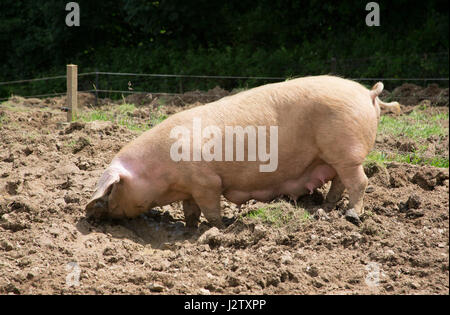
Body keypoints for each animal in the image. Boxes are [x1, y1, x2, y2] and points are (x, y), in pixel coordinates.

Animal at [85, 75, 394, 227]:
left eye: (112, 189)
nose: (90, 214)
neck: (162, 173)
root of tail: (368, 93)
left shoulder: (207, 182)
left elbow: (211, 209)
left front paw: (219, 229)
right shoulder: (190, 189)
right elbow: (190, 210)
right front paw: (188, 227)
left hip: (347, 150)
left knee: (360, 181)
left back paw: (351, 216)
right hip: (336, 157)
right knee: (340, 182)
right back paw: (327, 207)